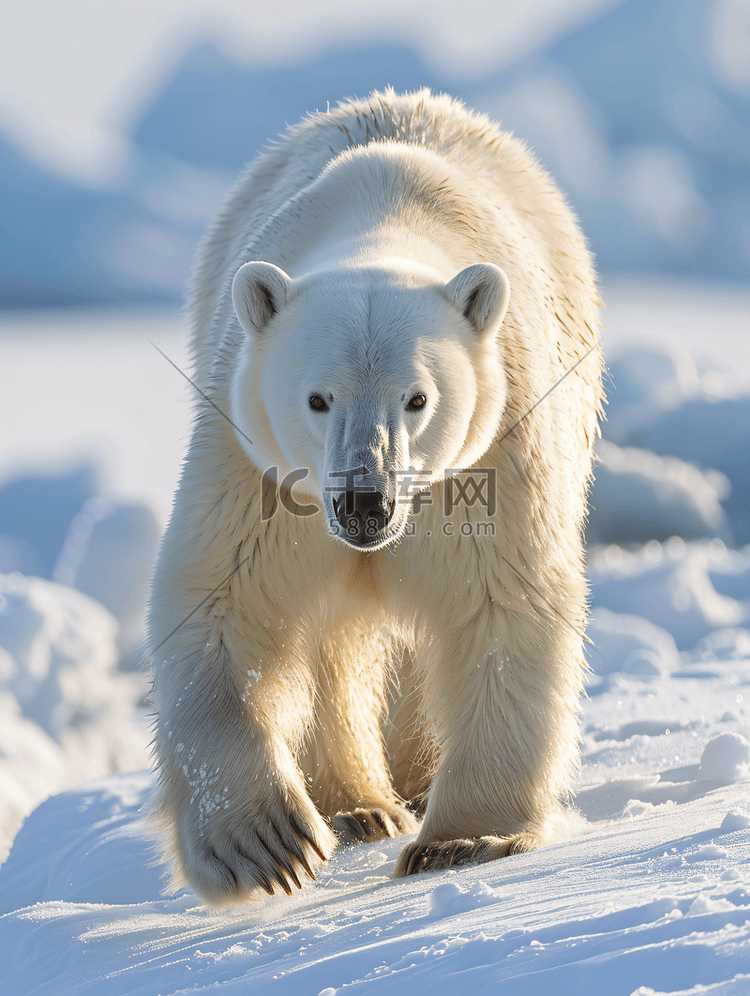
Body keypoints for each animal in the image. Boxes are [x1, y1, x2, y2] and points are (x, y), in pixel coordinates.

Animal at [148, 89, 604, 908]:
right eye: (317, 397)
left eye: (417, 397)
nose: (366, 502)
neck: (387, 215)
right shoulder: (257, 465)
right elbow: (224, 599)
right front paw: (267, 843)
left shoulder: (494, 450)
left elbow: (502, 603)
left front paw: (464, 840)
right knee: (333, 645)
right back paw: (359, 807)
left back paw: (409, 791)